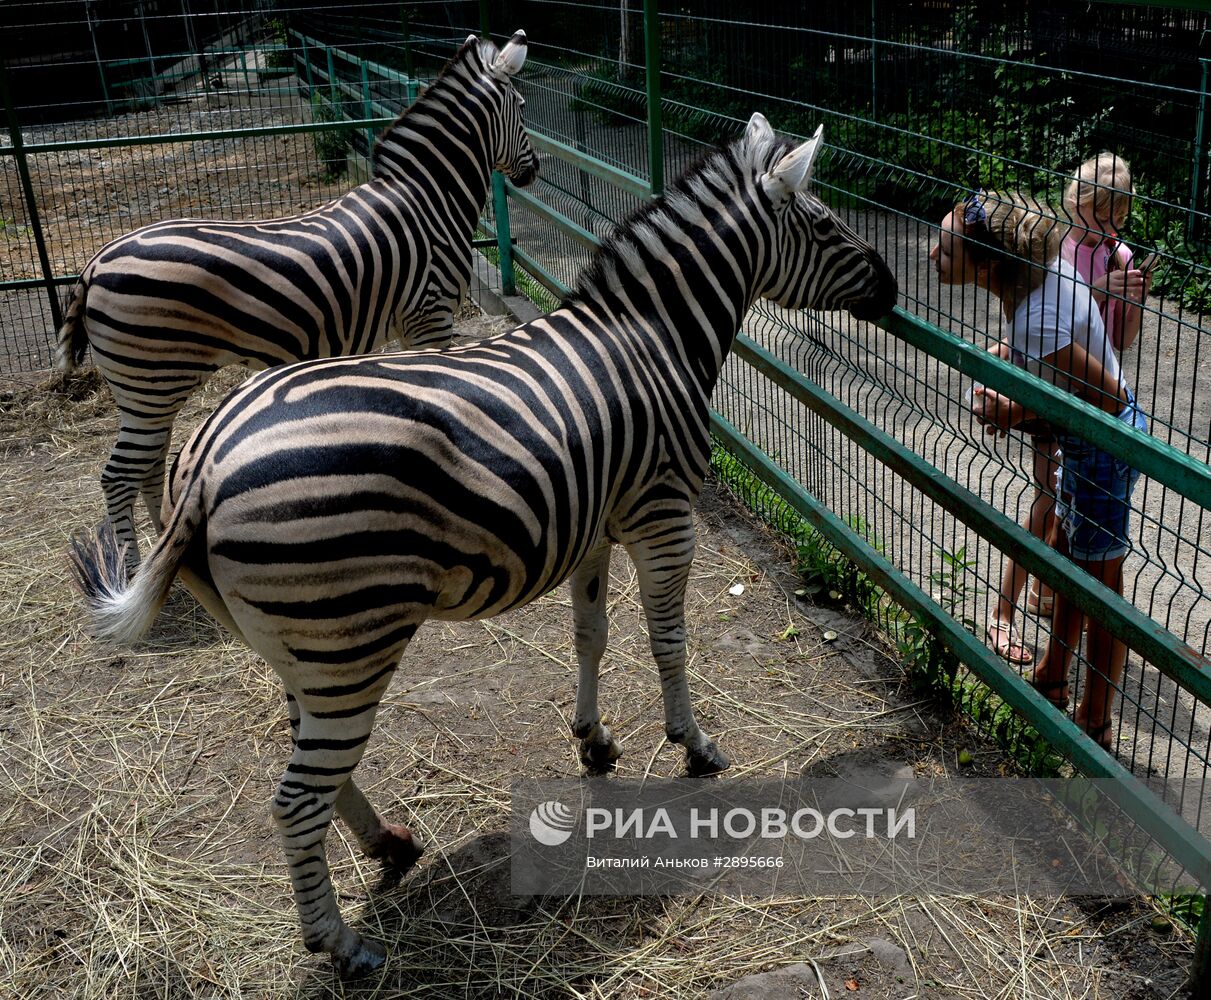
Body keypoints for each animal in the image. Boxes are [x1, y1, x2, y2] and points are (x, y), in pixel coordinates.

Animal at [55, 27, 540, 564]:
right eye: (522, 107)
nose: (535, 171)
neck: (430, 200)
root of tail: (94, 265)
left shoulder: (406, 323)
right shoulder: (430, 313)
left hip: (149, 387)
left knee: (146, 465)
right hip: (150, 382)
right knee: (117, 476)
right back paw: (130, 566)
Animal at [68, 110, 900, 973]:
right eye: (826, 225)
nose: (894, 290)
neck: (657, 334)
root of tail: (204, 463)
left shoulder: (592, 525)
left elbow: (590, 634)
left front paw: (593, 741)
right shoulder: (664, 512)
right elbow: (667, 641)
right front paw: (692, 745)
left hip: (294, 642)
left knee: (310, 760)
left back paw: (389, 844)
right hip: (346, 640)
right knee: (296, 799)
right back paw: (342, 943)